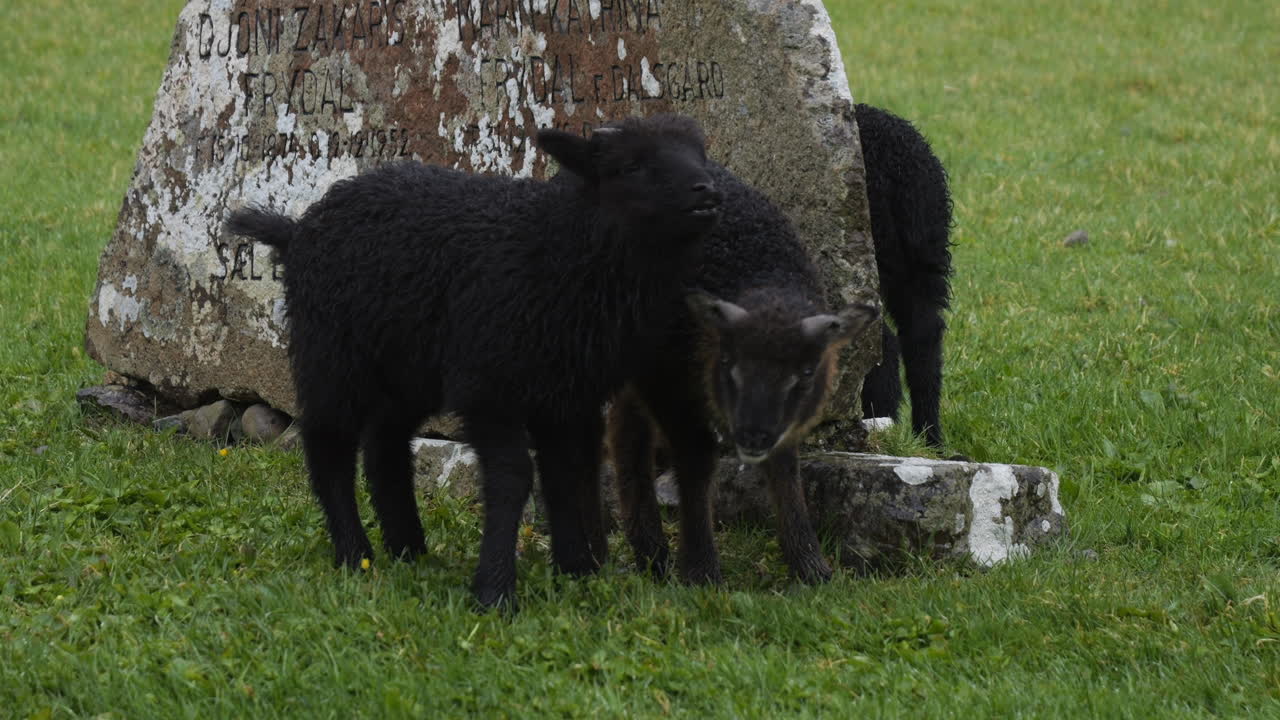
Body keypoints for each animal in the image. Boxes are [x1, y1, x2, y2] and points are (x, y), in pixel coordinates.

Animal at [225, 114, 722, 609]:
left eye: (699, 152)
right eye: (630, 166)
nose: (707, 191)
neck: (557, 251)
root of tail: (297, 230)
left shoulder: (567, 394)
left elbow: (565, 474)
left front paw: (575, 570)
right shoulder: (490, 384)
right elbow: (512, 477)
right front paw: (495, 590)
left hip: (409, 369)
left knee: (386, 443)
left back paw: (408, 547)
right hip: (333, 352)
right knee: (329, 445)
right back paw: (354, 553)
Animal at [606, 160, 880, 585]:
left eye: (806, 371)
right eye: (728, 361)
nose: (752, 434)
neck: (759, 269)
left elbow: (785, 467)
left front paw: (811, 568)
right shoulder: (666, 383)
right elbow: (698, 458)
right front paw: (700, 569)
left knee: (624, 430)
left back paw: (650, 556)